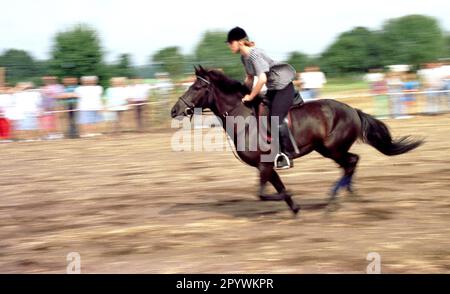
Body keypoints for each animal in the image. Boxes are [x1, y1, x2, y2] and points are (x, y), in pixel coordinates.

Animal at [171, 66, 424, 214]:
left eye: (196, 86)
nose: (175, 110)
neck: (243, 117)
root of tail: (353, 110)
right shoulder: (267, 166)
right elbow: (274, 188)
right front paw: (294, 207)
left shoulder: (264, 165)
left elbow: (263, 194)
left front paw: (290, 197)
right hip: (327, 149)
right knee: (351, 163)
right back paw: (345, 195)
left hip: (333, 149)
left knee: (352, 162)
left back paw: (334, 199)